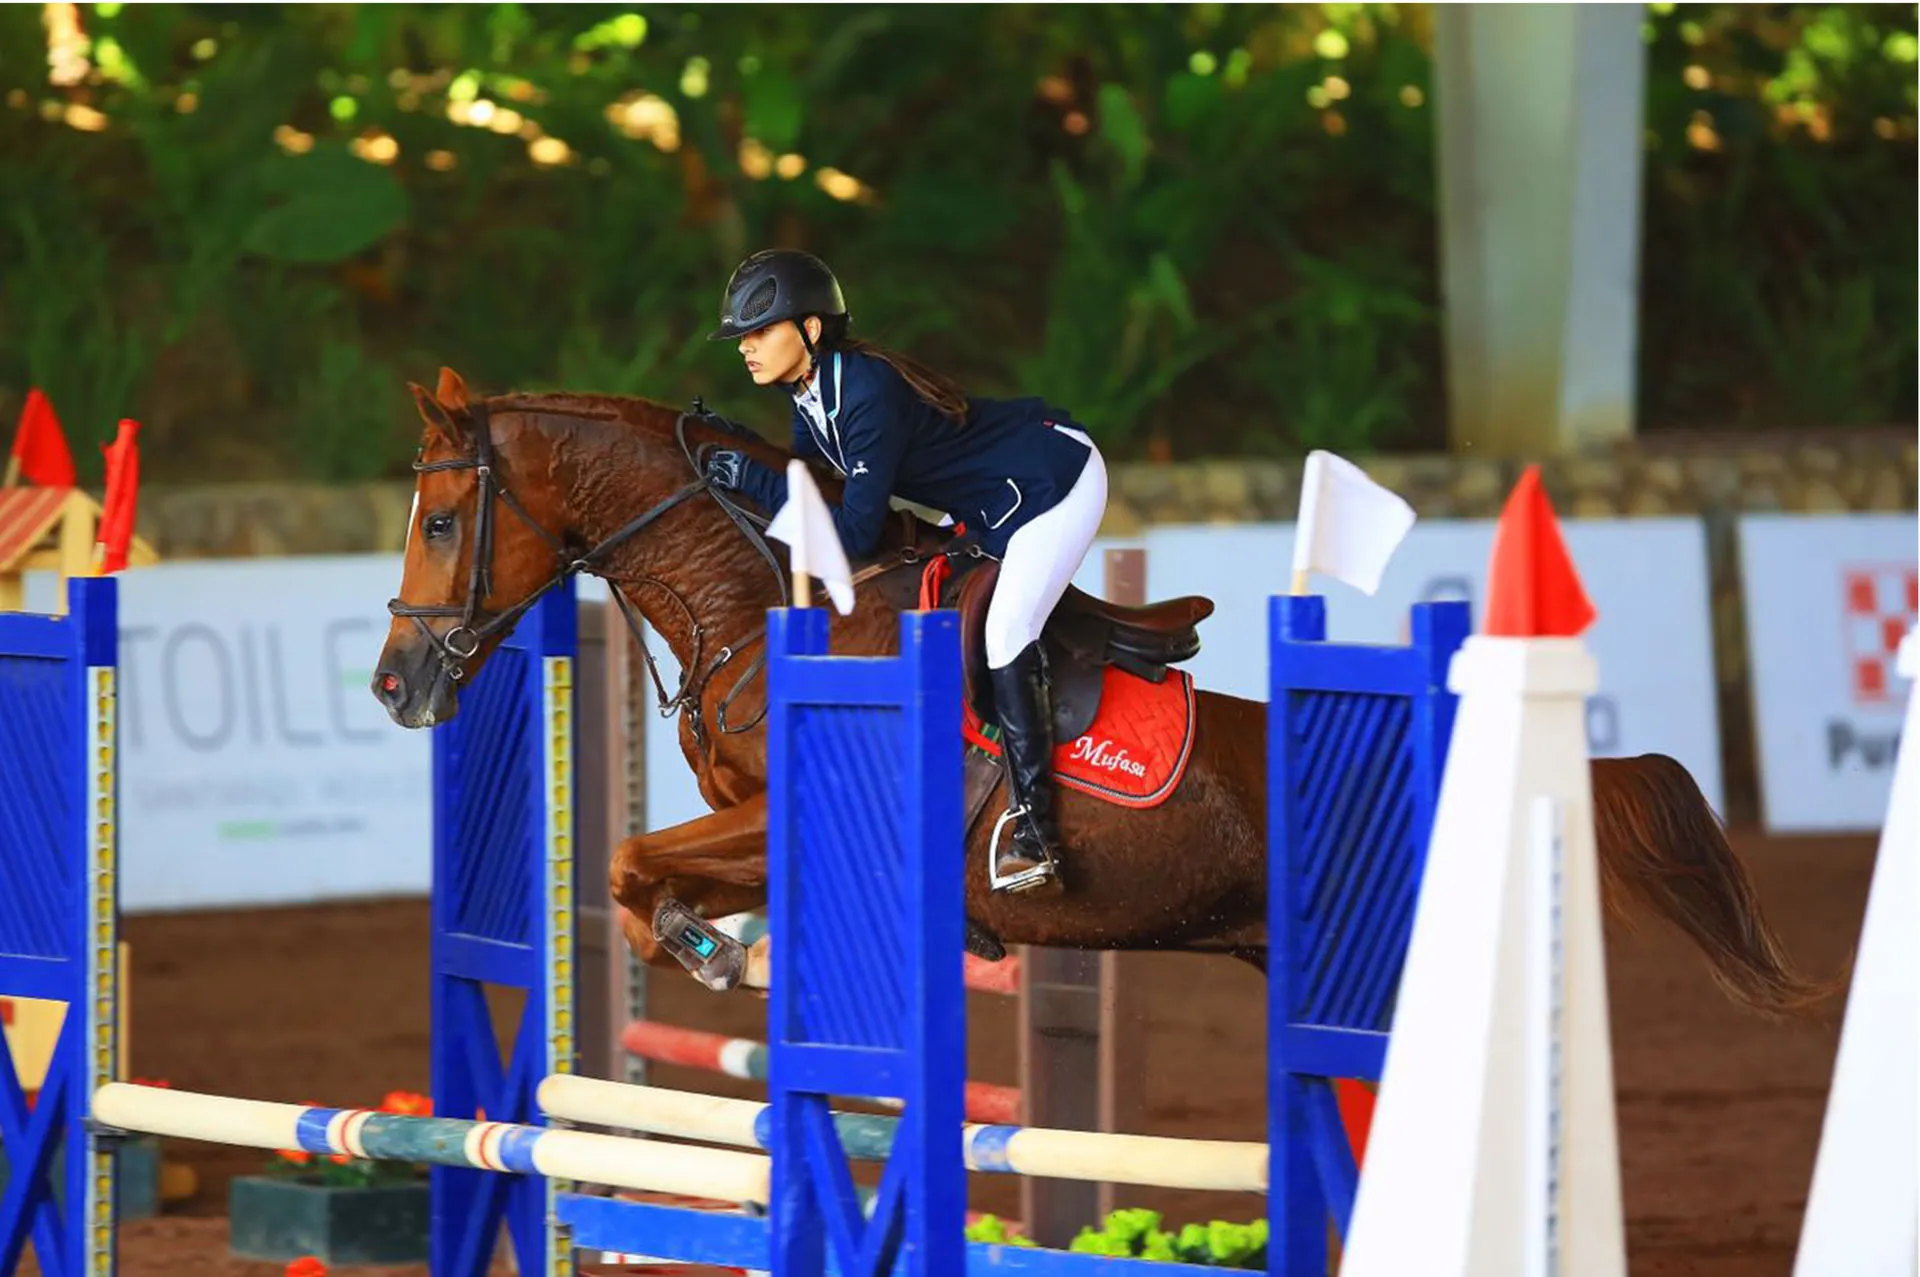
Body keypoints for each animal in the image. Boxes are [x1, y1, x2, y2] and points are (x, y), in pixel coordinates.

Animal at [371, 367, 1831, 1021]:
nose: (395, 683)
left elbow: (634, 859)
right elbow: (638, 868)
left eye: (441, 521)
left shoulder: (791, 807)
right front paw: (716, 945)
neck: (766, 601)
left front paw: (709, 948)